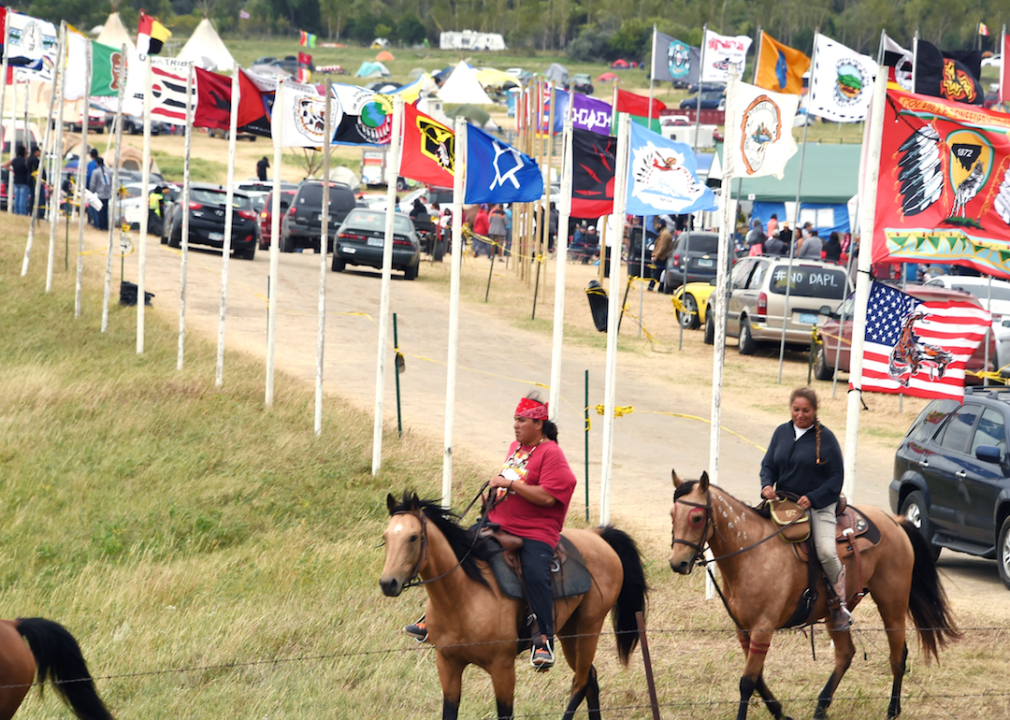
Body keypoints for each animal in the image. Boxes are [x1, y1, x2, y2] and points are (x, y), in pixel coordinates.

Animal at [379, 490, 646, 714]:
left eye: (413, 537)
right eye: (386, 537)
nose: (388, 583)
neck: (463, 596)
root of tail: (597, 535)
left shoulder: (503, 669)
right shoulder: (448, 664)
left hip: (589, 628)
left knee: (580, 682)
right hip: (570, 632)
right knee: (590, 678)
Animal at [666, 472, 957, 718]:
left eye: (696, 517)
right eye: (672, 513)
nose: (678, 563)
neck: (752, 552)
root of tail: (894, 522)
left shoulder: (763, 628)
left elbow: (747, 682)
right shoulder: (743, 629)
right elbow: (757, 677)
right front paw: (780, 713)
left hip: (892, 603)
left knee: (898, 656)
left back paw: (891, 711)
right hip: (835, 612)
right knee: (846, 653)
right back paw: (820, 708)